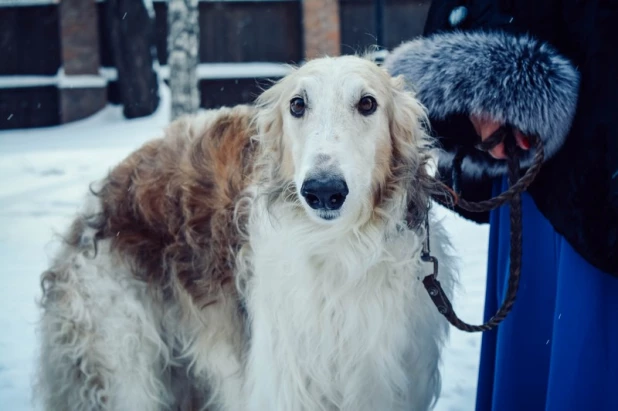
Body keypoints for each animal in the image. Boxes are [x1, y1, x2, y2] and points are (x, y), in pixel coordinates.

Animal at [36, 55, 454, 411]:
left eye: (368, 103)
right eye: (297, 105)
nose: (323, 191)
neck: (342, 245)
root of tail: (98, 200)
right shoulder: (290, 381)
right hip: (122, 354)